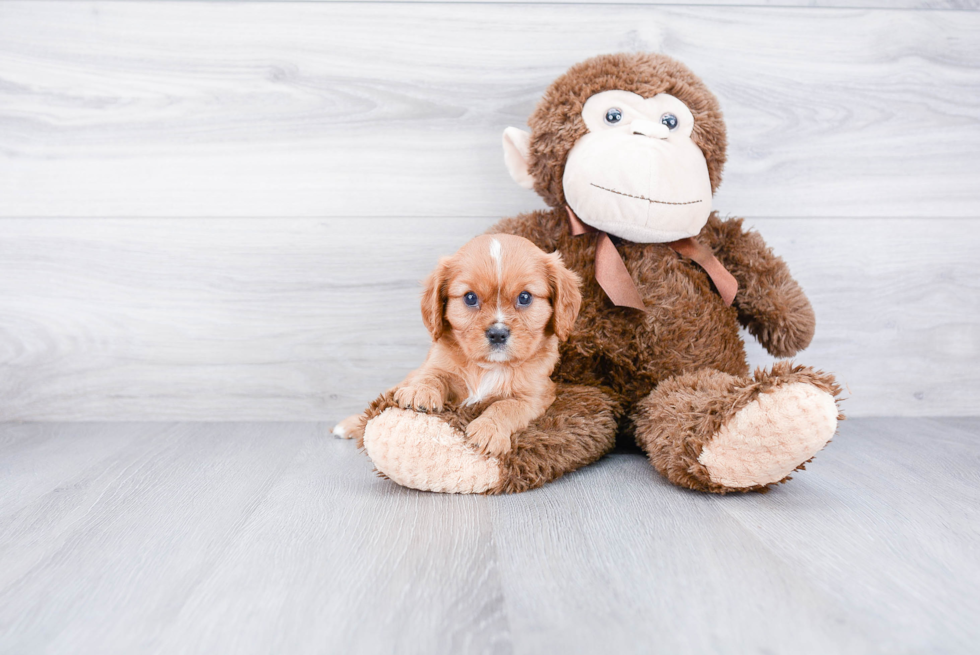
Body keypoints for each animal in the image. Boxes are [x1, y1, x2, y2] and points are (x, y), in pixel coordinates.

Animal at [336, 234, 580, 456]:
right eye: (470, 298)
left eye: (525, 297)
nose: (497, 334)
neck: (487, 367)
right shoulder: (436, 365)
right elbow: (432, 376)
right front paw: (420, 392)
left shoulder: (536, 396)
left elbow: (506, 406)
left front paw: (489, 429)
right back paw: (350, 424)